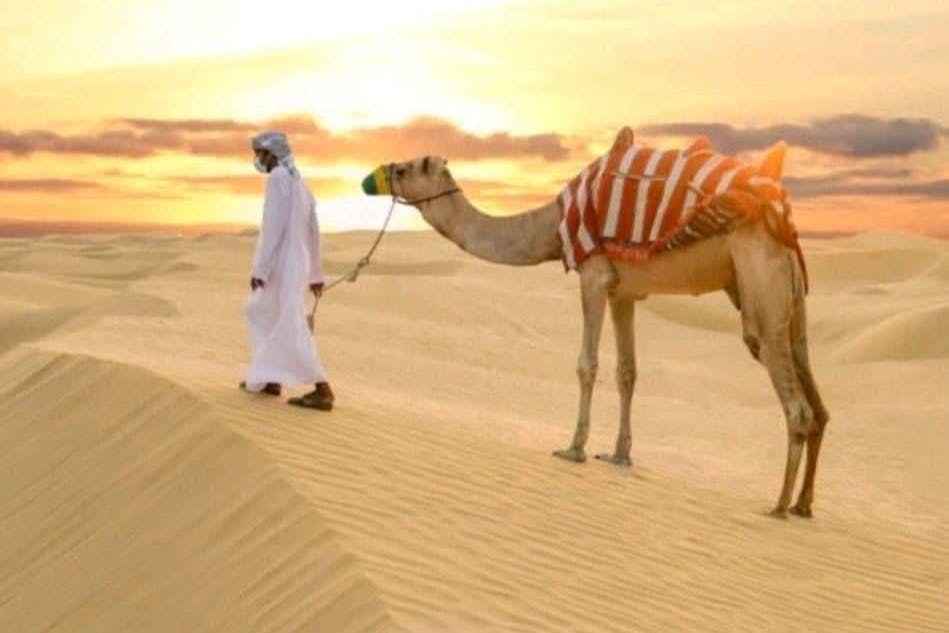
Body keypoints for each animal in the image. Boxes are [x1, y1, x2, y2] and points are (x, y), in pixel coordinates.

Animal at [361, 128, 830, 518]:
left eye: (403, 169)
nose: (370, 178)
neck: (552, 228)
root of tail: (781, 216)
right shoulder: (625, 293)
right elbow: (627, 372)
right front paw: (619, 454)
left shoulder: (594, 275)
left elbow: (587, 365)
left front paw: (574, 448)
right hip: (788, 297)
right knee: (817, 398)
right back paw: (804, 503)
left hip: (758, 281)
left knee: (795, 402)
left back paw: (778, 505)